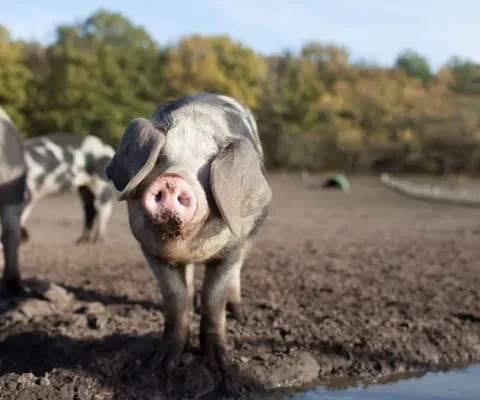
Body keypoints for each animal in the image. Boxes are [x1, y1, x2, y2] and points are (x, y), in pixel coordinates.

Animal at [103, 93, 272, 372]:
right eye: (161, 157)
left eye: (209, 162)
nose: (173, 180)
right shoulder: (150, 250)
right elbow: (175, 298)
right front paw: (162, 364)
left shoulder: (230, 250)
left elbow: (213, 300)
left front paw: (219, 364)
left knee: (237, 272)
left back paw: (239, 314)